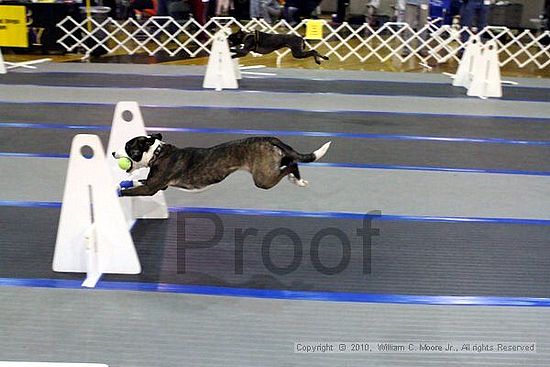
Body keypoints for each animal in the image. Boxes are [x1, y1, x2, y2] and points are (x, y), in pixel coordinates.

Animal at [113, 134, 332, 197]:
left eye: (128, 147)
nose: (114, 153)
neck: (157, 153)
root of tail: (269, 139)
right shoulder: (156, 184)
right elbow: (134, 183)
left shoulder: (152, 188)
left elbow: (131, 191)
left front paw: (118, 193)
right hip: (272, 165)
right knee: (290, 161)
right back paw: (298, 180)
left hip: (263, 179)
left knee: (290, 164)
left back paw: (296, 180)